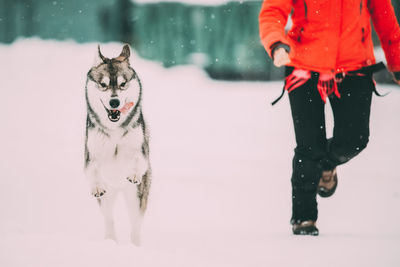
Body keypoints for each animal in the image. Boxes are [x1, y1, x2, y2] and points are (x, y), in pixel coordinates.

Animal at [83, 44, 151, 247]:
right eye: (103, 85)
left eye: (122, 84)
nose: (114, 102)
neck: (114, 130)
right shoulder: (90, 155)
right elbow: (93, 169)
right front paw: (96, 185)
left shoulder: (142, 150)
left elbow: (137, 159)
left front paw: (134, 173)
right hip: (108, 198)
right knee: (109, 219)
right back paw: (110, 241)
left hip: (136, 197)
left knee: (135, 225)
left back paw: (135, 245)